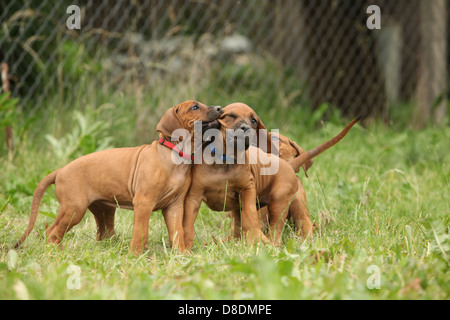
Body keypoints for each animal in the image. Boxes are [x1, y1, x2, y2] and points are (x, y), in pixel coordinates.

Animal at [15, 100, 223, 255]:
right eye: (195, 107)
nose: (220, 108)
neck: (174, 154)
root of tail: (60, 170)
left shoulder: (174, 206)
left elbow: (177, 232)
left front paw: (182, 255)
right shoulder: (144, 202)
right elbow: (141, 232)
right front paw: (135, 256)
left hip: (103, 209)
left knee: (100, 233)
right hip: (74, 208)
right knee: (52, 231)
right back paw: (57, 253)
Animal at [183, 102, 358, 248]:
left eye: (254, 121)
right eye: (230, 116)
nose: (246, 129)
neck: (225, 160)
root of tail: (288, 165)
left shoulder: (247, 192)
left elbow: (251, 217)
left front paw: (256, 240)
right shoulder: (194, 196)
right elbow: (189, 221)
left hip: (280, 202)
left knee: (282, 229)